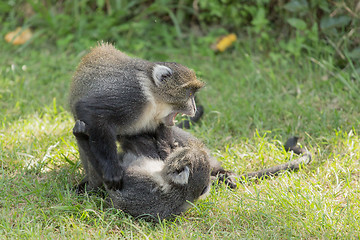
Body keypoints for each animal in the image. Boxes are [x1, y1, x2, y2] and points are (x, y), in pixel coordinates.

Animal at [69, 42, 205, 189]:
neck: (153, 97)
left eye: (193, 94)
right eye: (189, 94)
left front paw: (167, 151)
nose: (194, 108)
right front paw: (112, 170)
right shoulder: (131, 97)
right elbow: (89, 110)